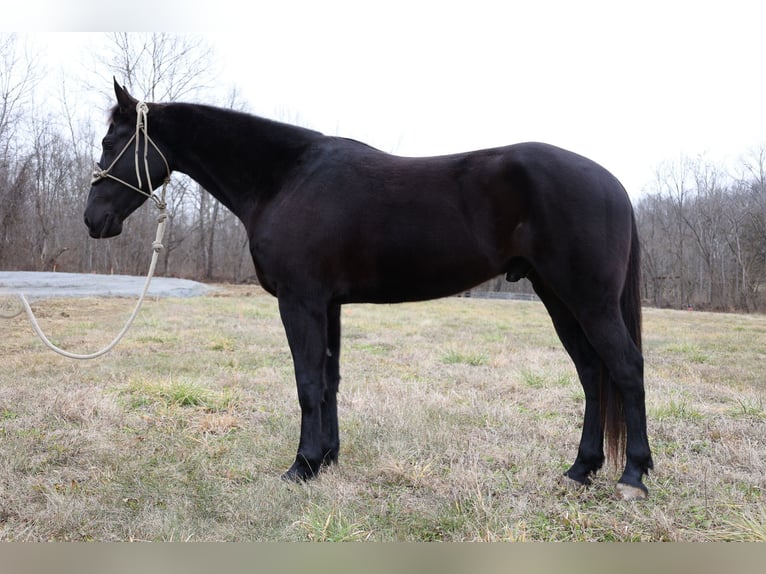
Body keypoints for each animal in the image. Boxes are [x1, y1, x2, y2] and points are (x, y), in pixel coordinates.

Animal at [88, 81, 656, 500]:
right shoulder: (329, 304)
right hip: (558, 298)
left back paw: (632, 476)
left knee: (625, 368)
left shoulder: (301, 302)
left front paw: (301, 466)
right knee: (592, 374)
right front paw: (328, 459)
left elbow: (307, 382)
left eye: (112, 144)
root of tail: (613, 183)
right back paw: (580, 470)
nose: (94, 220)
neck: (285, 179)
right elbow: (329, 380)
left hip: (588, 300)